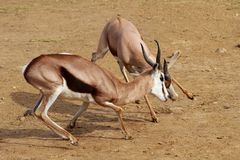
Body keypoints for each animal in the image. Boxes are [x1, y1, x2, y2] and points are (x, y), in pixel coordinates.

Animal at [22, 43, 169, 145]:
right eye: (161, 77)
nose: (167, 96)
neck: (118, 87)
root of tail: (28, 68)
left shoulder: (86, 101)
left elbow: (82, 109)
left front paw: (71, 124)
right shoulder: (101, 100)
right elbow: (120, 109)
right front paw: (127, 135)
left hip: (44, 94)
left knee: (35, 112)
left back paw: (65, 136)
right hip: (54, 91)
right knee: (42, 113)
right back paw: (73, 139)